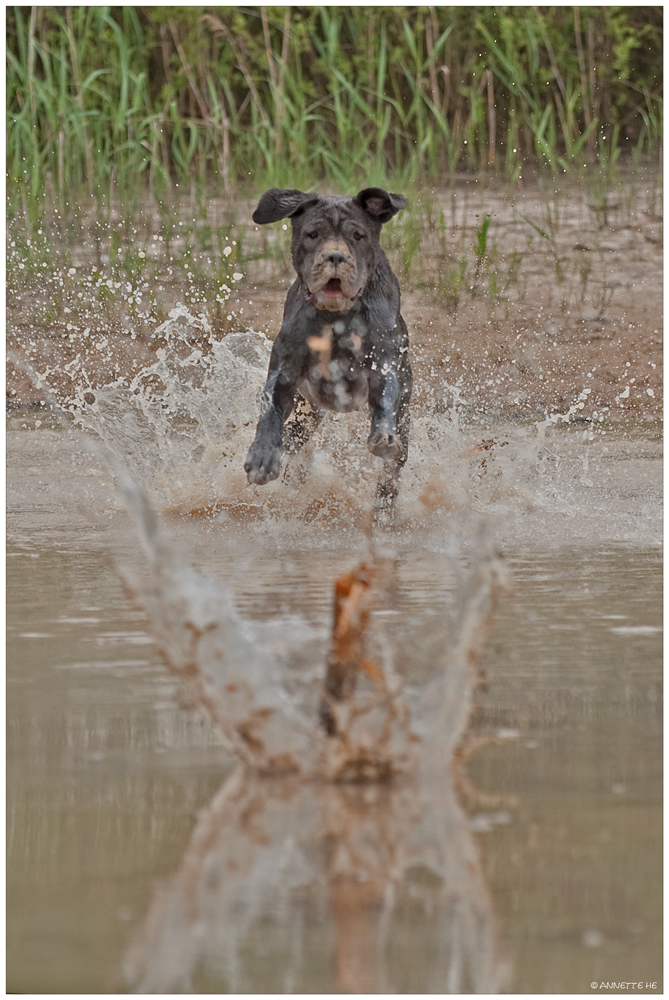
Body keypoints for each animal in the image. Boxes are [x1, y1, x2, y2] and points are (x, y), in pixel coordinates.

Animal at [245, 188, 412, 512]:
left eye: (358, 235)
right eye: (313, 234)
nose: (335, 256)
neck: (337, 318)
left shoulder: (383, 363)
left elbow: (385, 398)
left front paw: (382, 435)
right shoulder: (285, 371)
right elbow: (270, 410)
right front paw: (262, 457)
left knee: (390, 478)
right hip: (306, 413)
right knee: (296, 442)